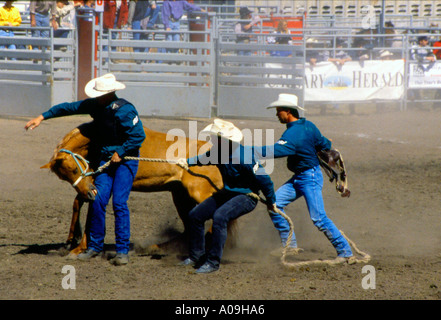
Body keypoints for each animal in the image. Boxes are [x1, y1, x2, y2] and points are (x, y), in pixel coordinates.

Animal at [40, 121, 234, 256]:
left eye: (74, 169)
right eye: (64, 177)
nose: (88, 193)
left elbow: (90, 212)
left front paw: (79, 247)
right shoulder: (90, 186)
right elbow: (77, 203)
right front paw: (71, 240)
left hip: (199, 192)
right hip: (180, 196)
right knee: (189, 228)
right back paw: (155, 248)